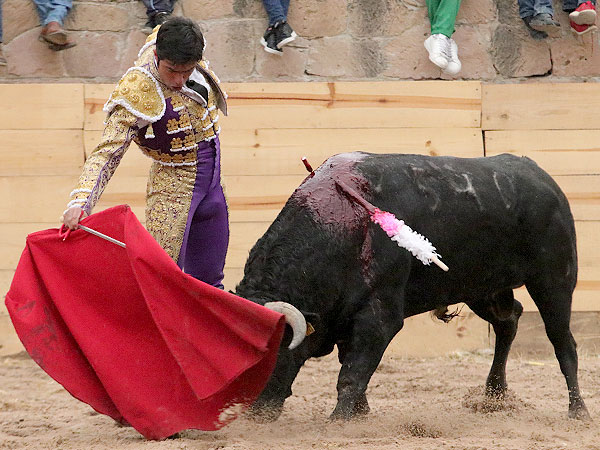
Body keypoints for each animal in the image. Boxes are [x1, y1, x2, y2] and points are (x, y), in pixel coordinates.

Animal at [234, 152, 592, 422]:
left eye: (271, 355)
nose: (252, 415)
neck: (339, 225)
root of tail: (541, 176)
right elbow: (352, 364)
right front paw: (360, 413)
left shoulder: (380, 316)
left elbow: (352, 373)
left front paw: (340, 420)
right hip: (480, 288)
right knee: (509, 320)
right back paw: (495, 394)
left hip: (554, 282)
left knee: (563, 343)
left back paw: (578, 410)